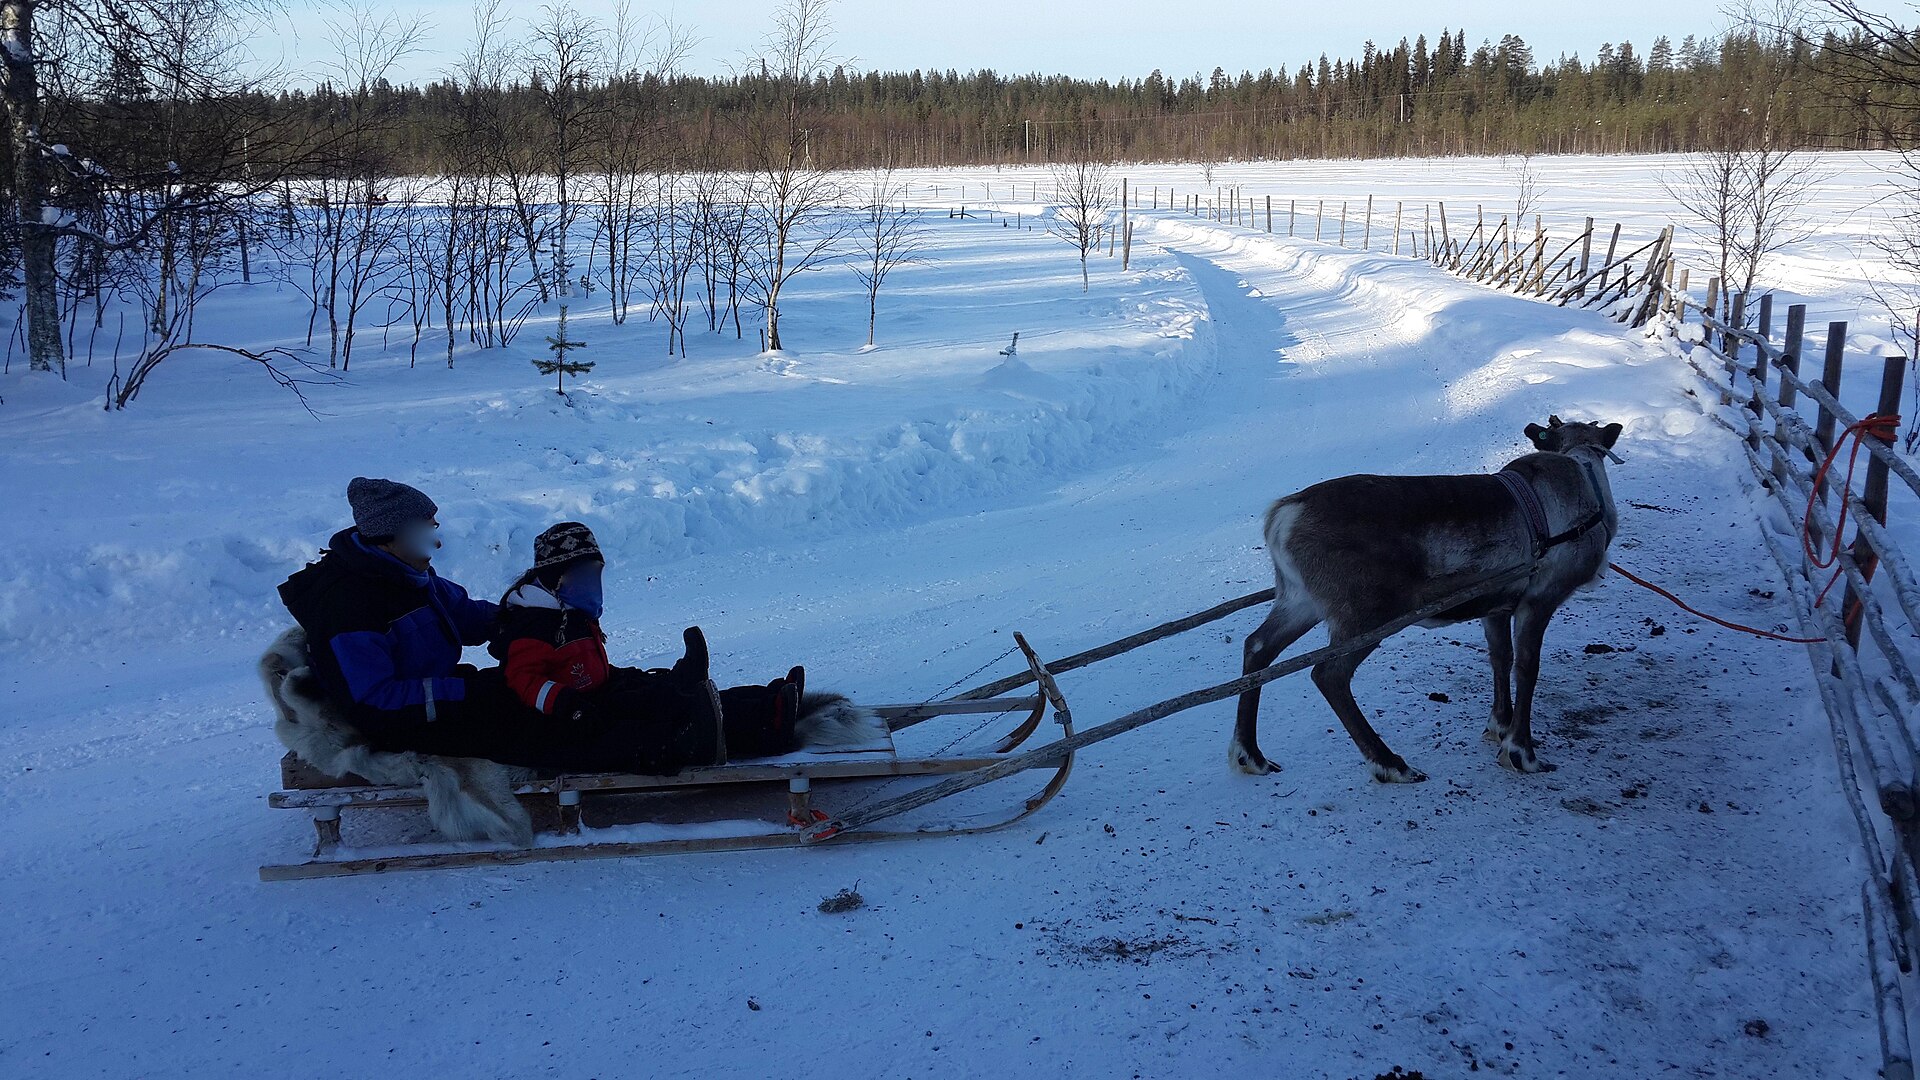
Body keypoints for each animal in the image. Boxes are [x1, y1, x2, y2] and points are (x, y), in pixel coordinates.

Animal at [1231, 416, 1623, 783]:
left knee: (1258, 646)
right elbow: (1527, 668)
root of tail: (1281, 517)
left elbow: (1500, 658)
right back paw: (1390, 763)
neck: (1588, 484)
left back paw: (1250, 755)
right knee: (1329, 673)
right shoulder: (1540, 598)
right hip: (1369, 613)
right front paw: (1521, 751)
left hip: (1301, 601)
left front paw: (1500, 725)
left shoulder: (1496, 605)